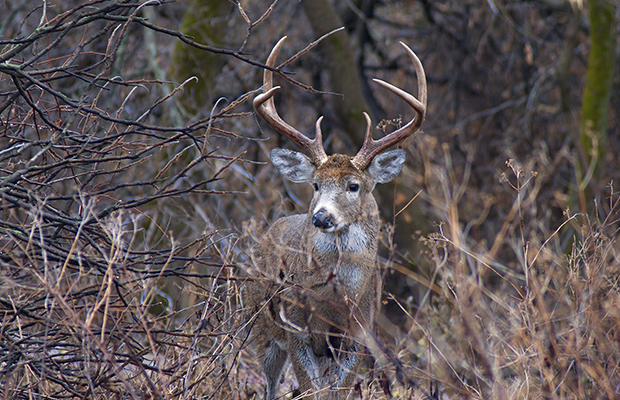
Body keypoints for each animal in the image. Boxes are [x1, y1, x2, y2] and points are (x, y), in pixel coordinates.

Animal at [246, 36, 426, 398]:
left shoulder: (357, 338)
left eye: (353, 186)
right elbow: (311, 390)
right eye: (315, 184)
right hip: (261, 328)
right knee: (269, 383)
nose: (321, 217)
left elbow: (337, 391)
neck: (332, 305)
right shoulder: (297, 333)